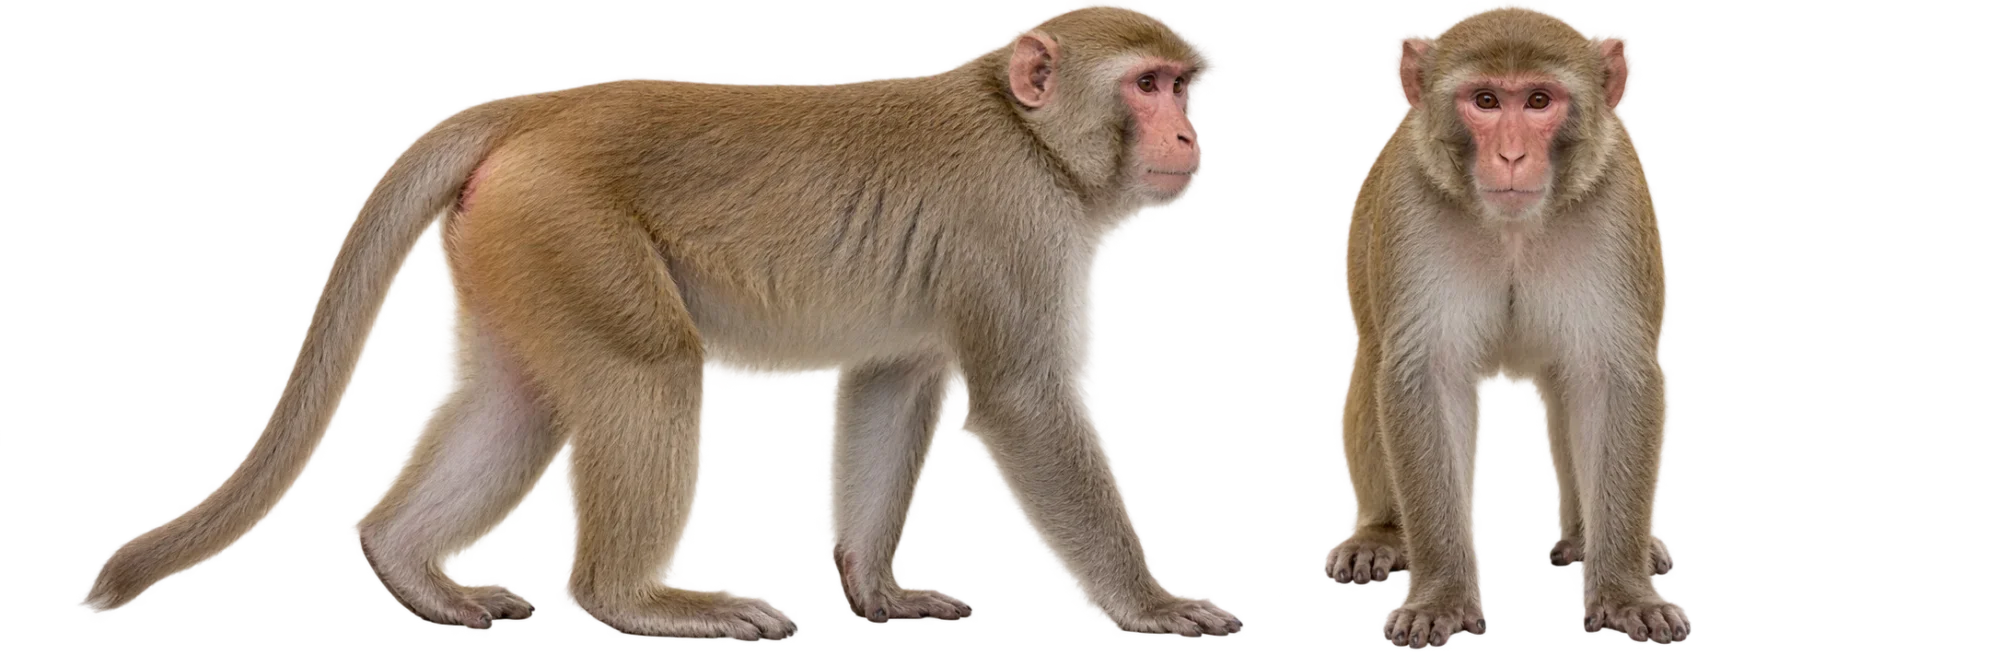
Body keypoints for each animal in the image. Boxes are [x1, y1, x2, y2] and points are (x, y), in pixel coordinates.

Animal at [75, 1, 1242, 641]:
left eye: (1184, 87)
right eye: (1146, 86)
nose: (1187, 135)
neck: (1031, 136)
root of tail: (536, 111)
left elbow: (891, 383)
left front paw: (877, 589)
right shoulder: (1014, 230)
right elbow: (1022, 403)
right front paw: (1150, 604)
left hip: (516, 241)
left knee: (518, 398)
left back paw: (407, 564)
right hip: (567, 223)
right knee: (649, 368)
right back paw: (639, 598)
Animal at [1322, 0, 1684, 649]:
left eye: (1538, 101)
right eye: (1486, 101)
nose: (1512, 156)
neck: (1513, 227)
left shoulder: (1615, 207)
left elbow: (1613, 379)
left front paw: (1625, 592)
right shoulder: (1413, 209)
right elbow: (1428, 377)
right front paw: (1440, 596)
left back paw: (1601, 540)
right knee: (1370, 369)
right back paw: (1381, 534)